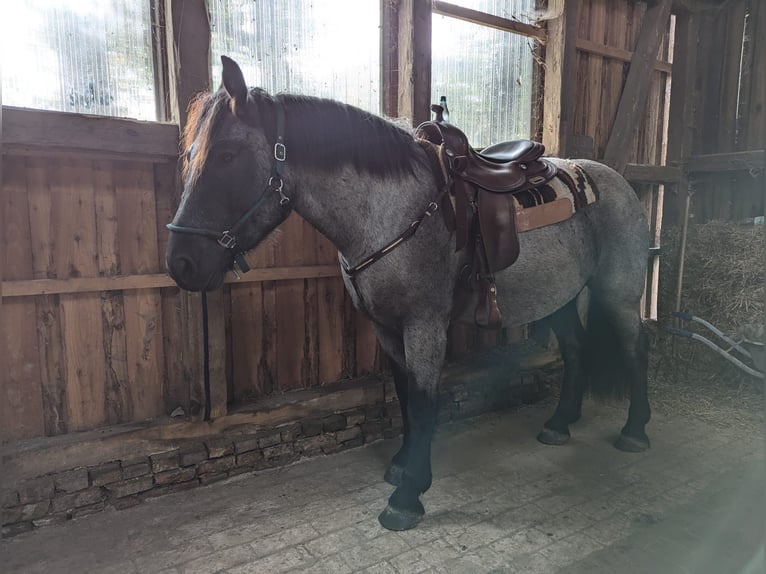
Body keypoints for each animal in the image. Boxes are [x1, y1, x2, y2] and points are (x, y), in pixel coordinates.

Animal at [165, 57, 652, 532]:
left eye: (227, 154)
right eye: (190, 155)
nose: (180, 262)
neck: (388, 214)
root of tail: (612, 179)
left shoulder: (424, 326)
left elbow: (422, 399)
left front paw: (408, 494)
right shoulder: (386, 327)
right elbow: (402, 392)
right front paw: (403, 465)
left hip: (618, 293)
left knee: (633, 349)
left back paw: (635, 430)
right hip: (559, 296)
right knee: (576, 349)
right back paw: (560, 422)